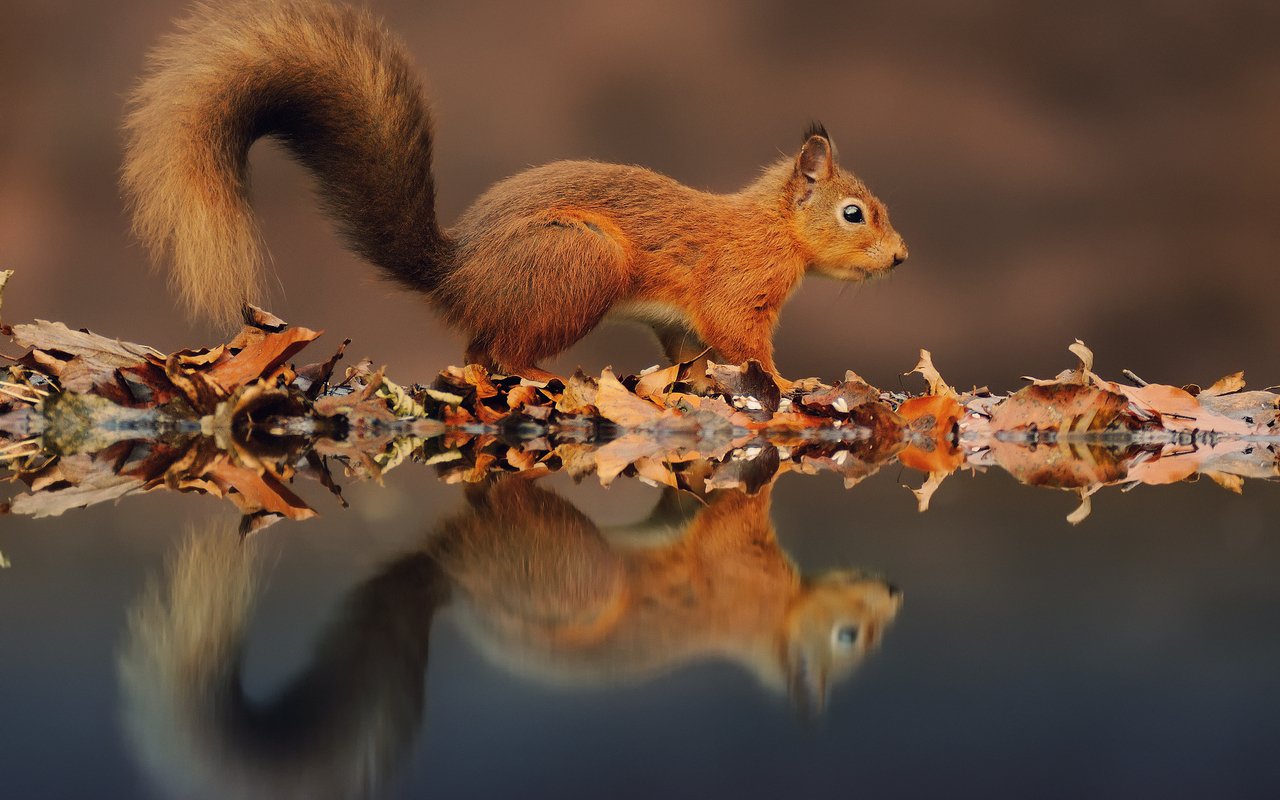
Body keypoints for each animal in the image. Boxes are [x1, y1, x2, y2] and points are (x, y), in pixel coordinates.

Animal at [123, 0, 907, 381]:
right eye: (854, 213)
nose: (900, 258)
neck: (774, 228)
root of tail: (460, 275)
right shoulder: (736, 288)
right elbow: (743, 342)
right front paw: (791, 386)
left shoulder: (682, 322)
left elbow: (690, 349)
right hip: (580, 264)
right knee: (504, 354)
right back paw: (549, 376)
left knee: (479, 352)